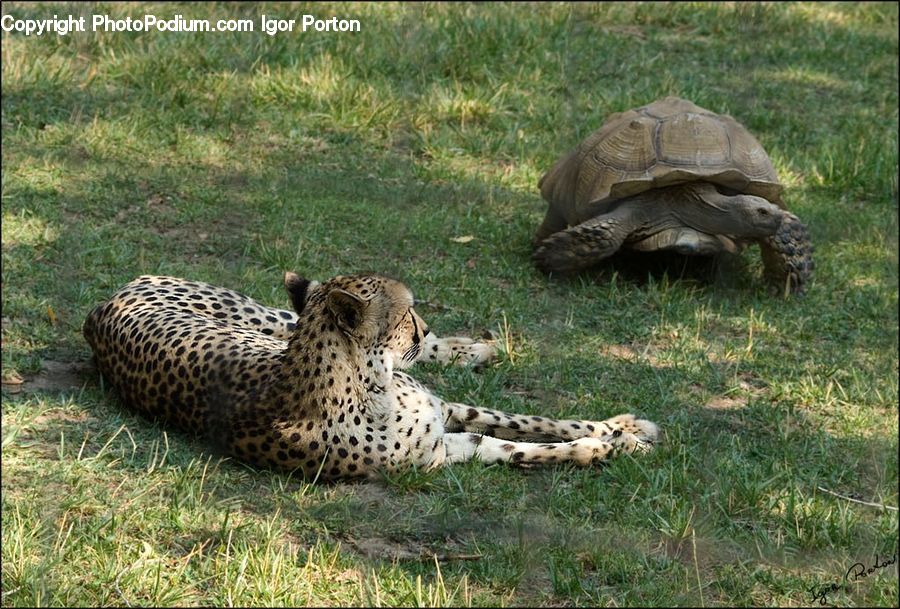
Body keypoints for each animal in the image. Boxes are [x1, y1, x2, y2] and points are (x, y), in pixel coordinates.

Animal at [82, 272, 659, 481]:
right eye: (404, 313)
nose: (420, 324)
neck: (369, 383)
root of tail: (102, 306)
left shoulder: (445, 414)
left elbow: (525, 421)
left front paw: (621, 429)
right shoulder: (440, 454)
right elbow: (519, 447)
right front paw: (608, 446)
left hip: (277, 316)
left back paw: (474, 348)